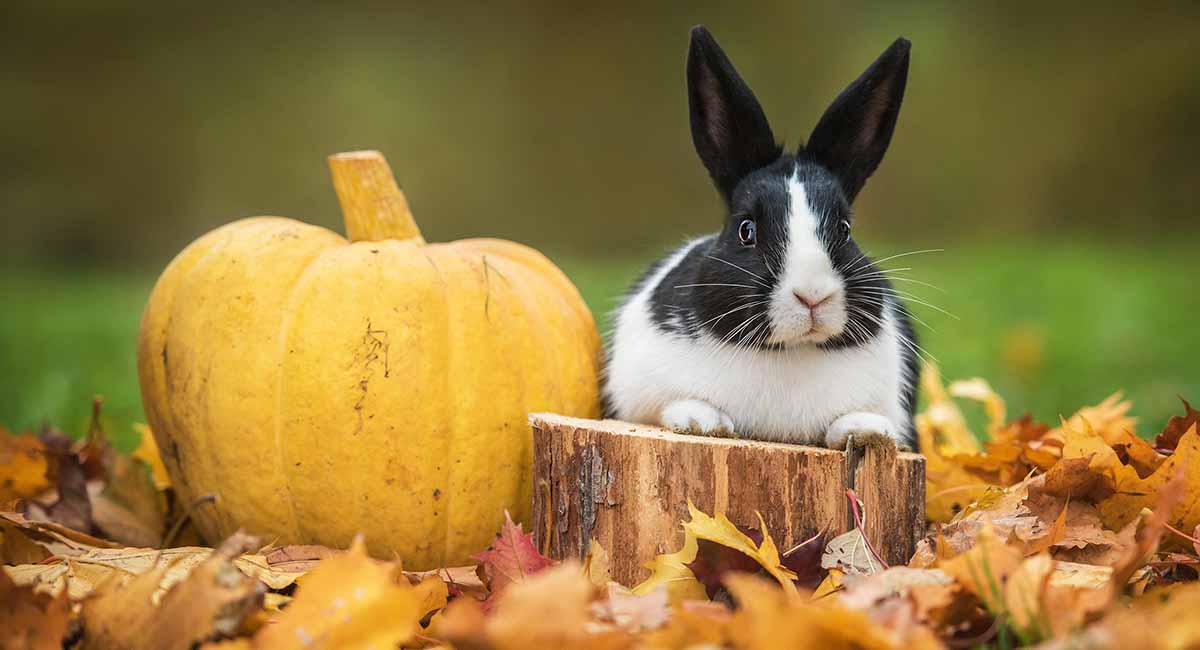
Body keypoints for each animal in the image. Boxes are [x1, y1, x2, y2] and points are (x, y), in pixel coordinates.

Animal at [604, 26, 920, 450]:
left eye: (844, 229)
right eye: (746, 230)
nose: (812, 295)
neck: (790, 350)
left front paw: (867, 431)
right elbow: (671, 406)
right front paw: (701, 422)